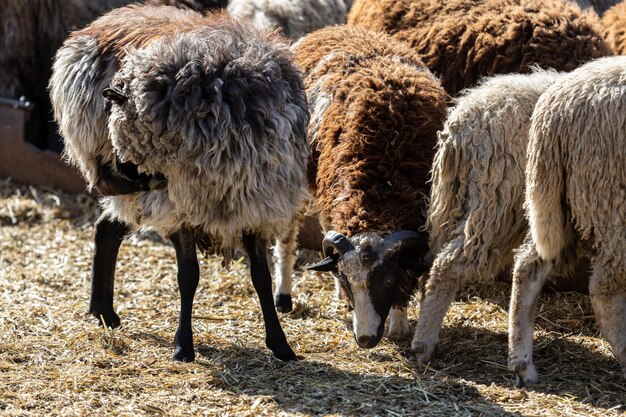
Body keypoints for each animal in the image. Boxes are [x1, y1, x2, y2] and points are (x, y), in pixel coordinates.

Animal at [50, 4, 308, 360]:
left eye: (124, 126)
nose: (119, 172)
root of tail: (99, 23)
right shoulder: (182, 209)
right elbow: (188, 276)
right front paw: (183, 345)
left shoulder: (255, 204)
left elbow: (261, 276)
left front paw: (280, 343)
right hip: (132, 180)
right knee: (110, 209)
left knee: (107, 227)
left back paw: (103, 311)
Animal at [276, 23, 446, 348]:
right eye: (345, 278)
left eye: (389, 279)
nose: (365, 339)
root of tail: (337, 28)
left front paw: (399, 323)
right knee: (288, 235)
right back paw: (283, 295)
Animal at [408, 69, 564, 364]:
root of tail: (460, 121)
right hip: (496, 201)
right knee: (447, 265)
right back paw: (424, 346)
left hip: (459, 202)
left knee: (433, 261)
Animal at [508, 56, 624, 386]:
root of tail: (555, 108)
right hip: (608, 199)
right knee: (604, 290)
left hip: (559, 203)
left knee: (528, 267)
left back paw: (522, 363)